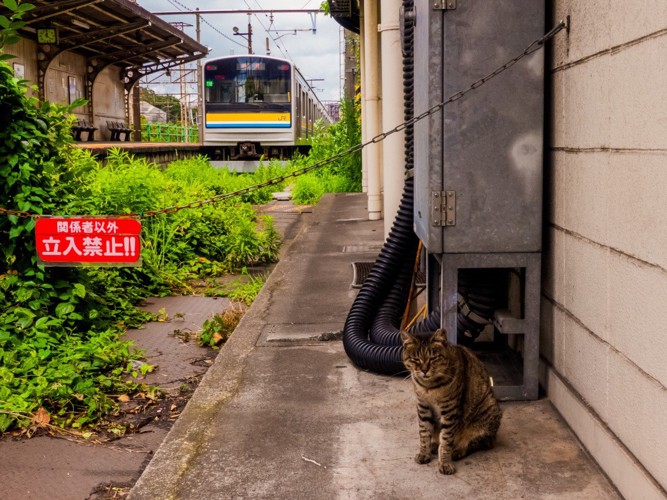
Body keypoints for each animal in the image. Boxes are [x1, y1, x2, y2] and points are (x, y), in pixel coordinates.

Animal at [402, 326, 500, 474]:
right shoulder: (423, 406)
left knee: (477, 442)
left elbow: (446, 439)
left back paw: (457, 450)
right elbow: (424, 432)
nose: (424, 370)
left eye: (433, 358)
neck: (429, 387)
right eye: (416, 359)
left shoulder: (450, 409)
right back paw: (434, 444)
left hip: (489, 410)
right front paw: (424, 453)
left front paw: (445, 462)